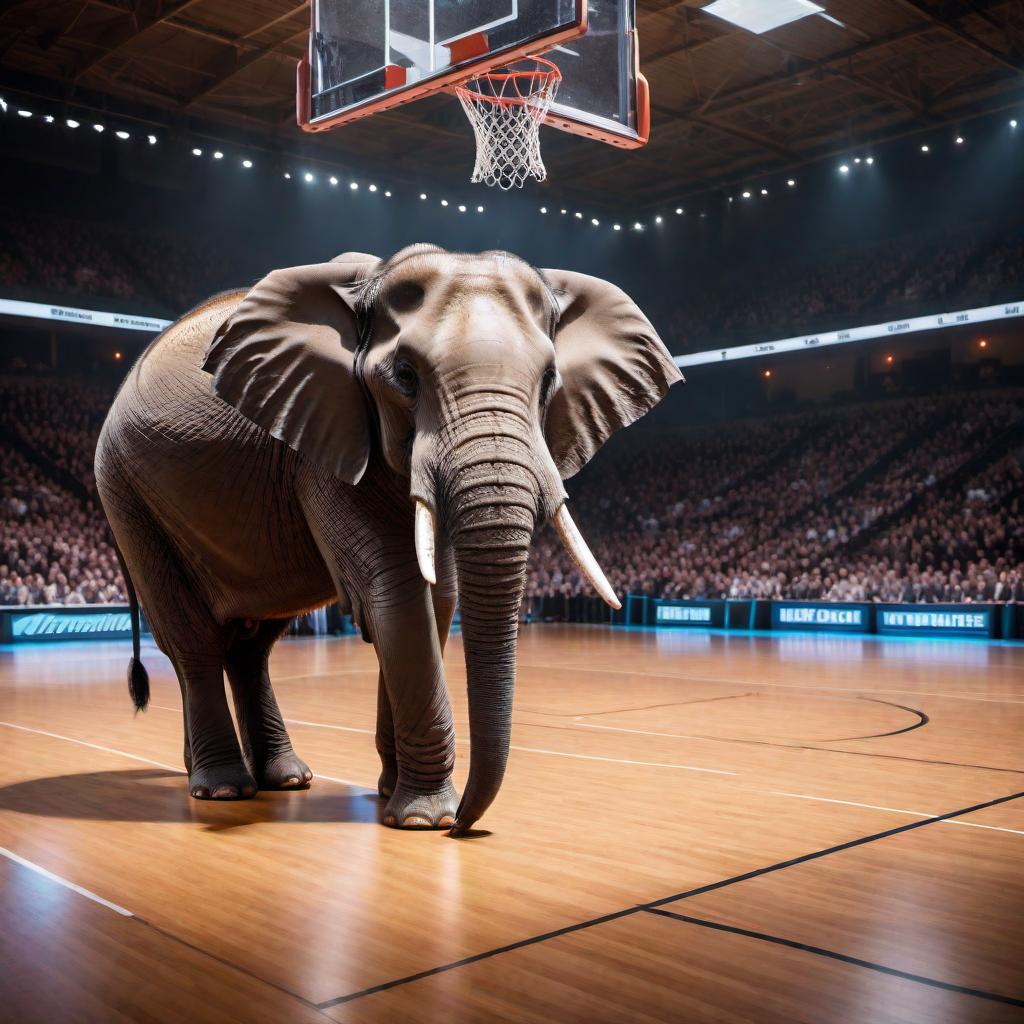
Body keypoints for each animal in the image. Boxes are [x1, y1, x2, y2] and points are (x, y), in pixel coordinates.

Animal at [96, 245, 684, 831]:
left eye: (549, 382)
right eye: (405, 376)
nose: (468, 825)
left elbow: (438, 596)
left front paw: (396, 799)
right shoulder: (323, 438)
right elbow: (396, 589)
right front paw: (427, 820)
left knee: (251, 645)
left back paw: (283, 779)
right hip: (126, 495)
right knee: (193, 640)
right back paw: (223, 788)